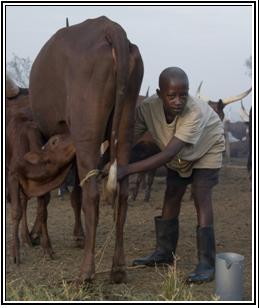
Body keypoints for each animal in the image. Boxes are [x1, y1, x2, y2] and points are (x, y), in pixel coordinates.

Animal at [30, 15, 145, 282]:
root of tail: (111, 28)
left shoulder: (44, 134)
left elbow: (44, 193)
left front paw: (44, 243)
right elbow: (73, 192)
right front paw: (77, 235)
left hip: (87, 132)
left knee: (92, 194)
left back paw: (86, 273)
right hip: (126, 123)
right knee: (121, 191)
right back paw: (118, 268)